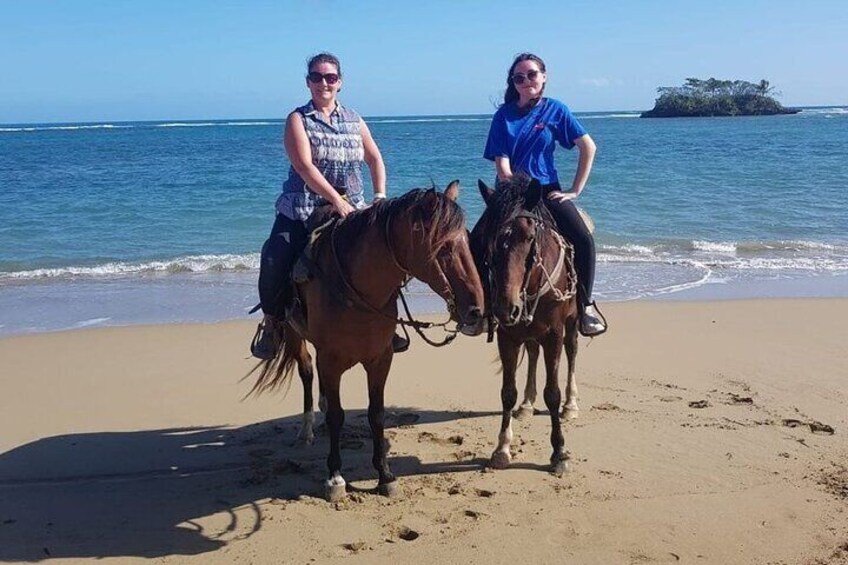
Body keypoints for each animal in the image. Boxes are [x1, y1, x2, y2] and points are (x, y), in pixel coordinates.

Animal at [248, 181, 484, 498]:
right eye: (444, 247)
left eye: (467, 240)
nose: (476, 311)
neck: (356, 290)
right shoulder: (331, 359)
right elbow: (338, 415)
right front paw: (335, 477)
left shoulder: (380, 359)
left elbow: (377, 413)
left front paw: (384, 475)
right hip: (294, 333)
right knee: (307, 371)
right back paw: (306, 429)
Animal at [470, 176, 584, 476]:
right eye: (490, 239)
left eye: (529, 237)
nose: (505, 307)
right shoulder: (507, 336)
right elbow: (507, 393)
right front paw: (502, 449)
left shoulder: (554, 334)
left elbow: (552, 394)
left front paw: (559, 453)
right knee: (532, 354)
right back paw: (527, 404)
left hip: (571, 323)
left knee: (572, 352)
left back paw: (571, 405)